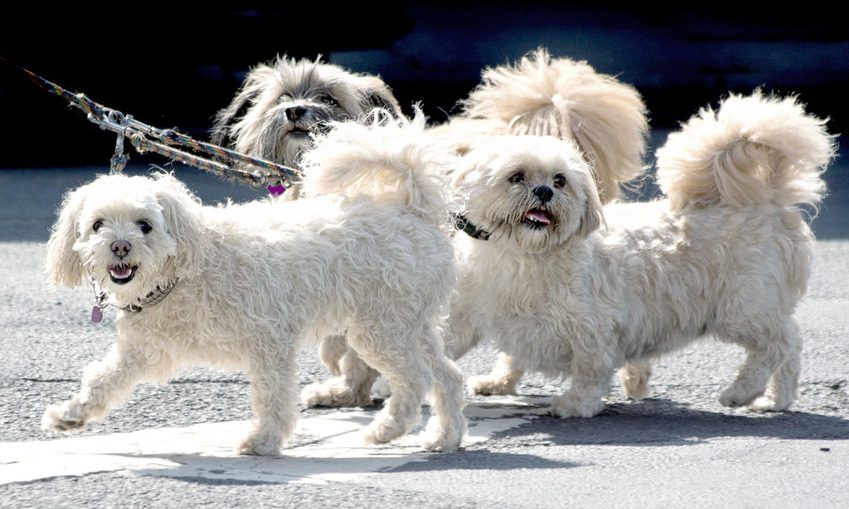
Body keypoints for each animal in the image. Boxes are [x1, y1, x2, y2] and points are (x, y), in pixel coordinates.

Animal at [41, 113, 464, 454]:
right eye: (97, 224)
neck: (184, 272)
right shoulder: (144, 350)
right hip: (411, 325)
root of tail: (413, 211)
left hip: (380, 327)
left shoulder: (269, 343)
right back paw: (444, 438)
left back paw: (386, 430)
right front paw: (70, 415)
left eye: (145, 225)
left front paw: (263, 441)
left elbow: (272, 396)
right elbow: (103, 379)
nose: (119, 246)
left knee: (416, 378)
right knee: (447, 376)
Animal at [448, 92, 832, 416]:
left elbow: (589, 371)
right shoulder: (474, 312)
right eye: (516, 177)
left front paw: (575, 403)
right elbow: (490, 350)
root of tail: (768, 200)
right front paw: (497, 382)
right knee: (789, 350)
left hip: (743, 308)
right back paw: (775, 400)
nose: (543, 191)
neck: (524, 254)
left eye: (560, 180)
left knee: (779, 343)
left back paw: (742, 392)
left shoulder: (593, 329)